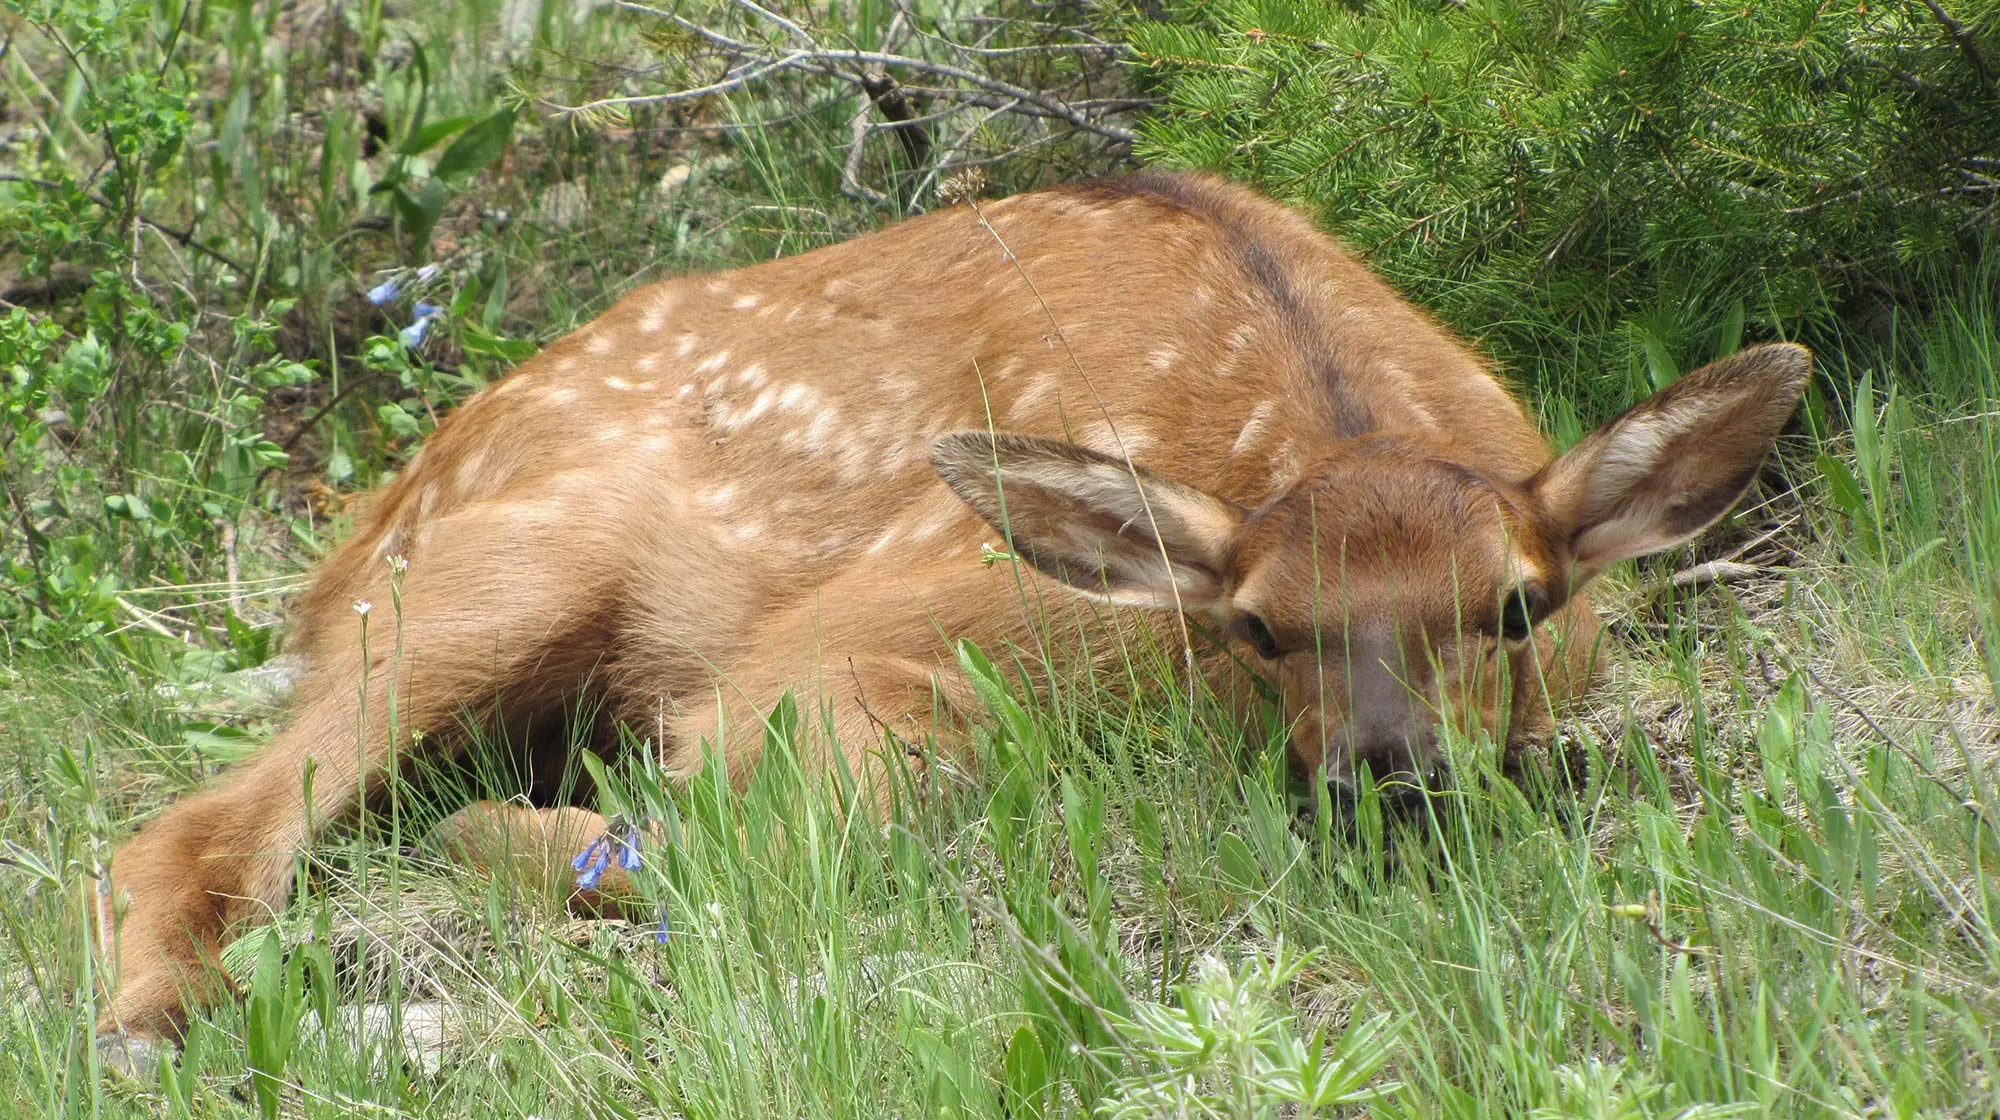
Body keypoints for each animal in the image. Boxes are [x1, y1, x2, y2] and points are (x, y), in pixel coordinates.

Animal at [90, 171, 1816, 1056]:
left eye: (1518, 608)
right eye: (1259, 627)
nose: (1386, 776)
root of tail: (359, 526)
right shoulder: (837, 643)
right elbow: (830, 801)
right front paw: (527, 846)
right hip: (506, 572)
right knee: (190, 826)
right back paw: (165, 1011)